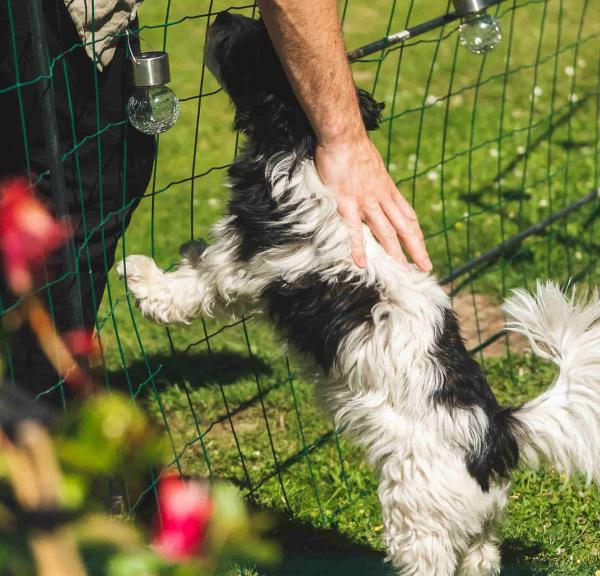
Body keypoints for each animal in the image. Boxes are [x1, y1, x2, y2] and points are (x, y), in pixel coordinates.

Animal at [118, 11, 600, 572]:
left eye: (254, 40)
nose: (222, 16)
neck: (301, 149)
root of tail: (496, 434)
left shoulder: (242, 263)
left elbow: (194, 285)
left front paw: (141, 275)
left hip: (418, 509)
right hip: (476, 525)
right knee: (481, 555)